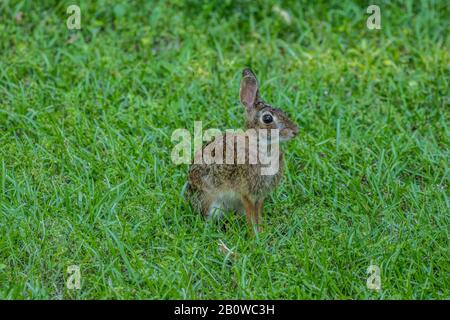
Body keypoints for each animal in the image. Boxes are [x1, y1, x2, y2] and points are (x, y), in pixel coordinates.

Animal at [185, 68, 298, 232]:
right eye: (268, 119)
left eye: (282, 111)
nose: (295, 131)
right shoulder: (245, 192)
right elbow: (251, 214)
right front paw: (254, 234)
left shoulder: (260, 195)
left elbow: (258, 213)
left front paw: (261, 231)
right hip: (211, 202)